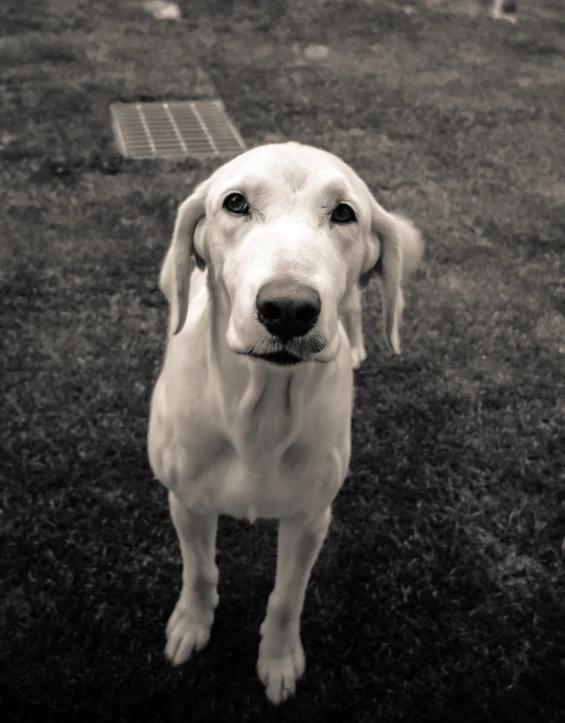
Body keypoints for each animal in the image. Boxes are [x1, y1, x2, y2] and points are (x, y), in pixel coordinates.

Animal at [148, 143, 420, 708]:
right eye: (234, 202)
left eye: (344, 212)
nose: (289, 308)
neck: (259, 414)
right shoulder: (186, 501)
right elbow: (199, 570)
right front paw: (191, 624)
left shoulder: (310, 518)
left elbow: (286, 596)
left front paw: (277, 659)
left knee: (354, 306)